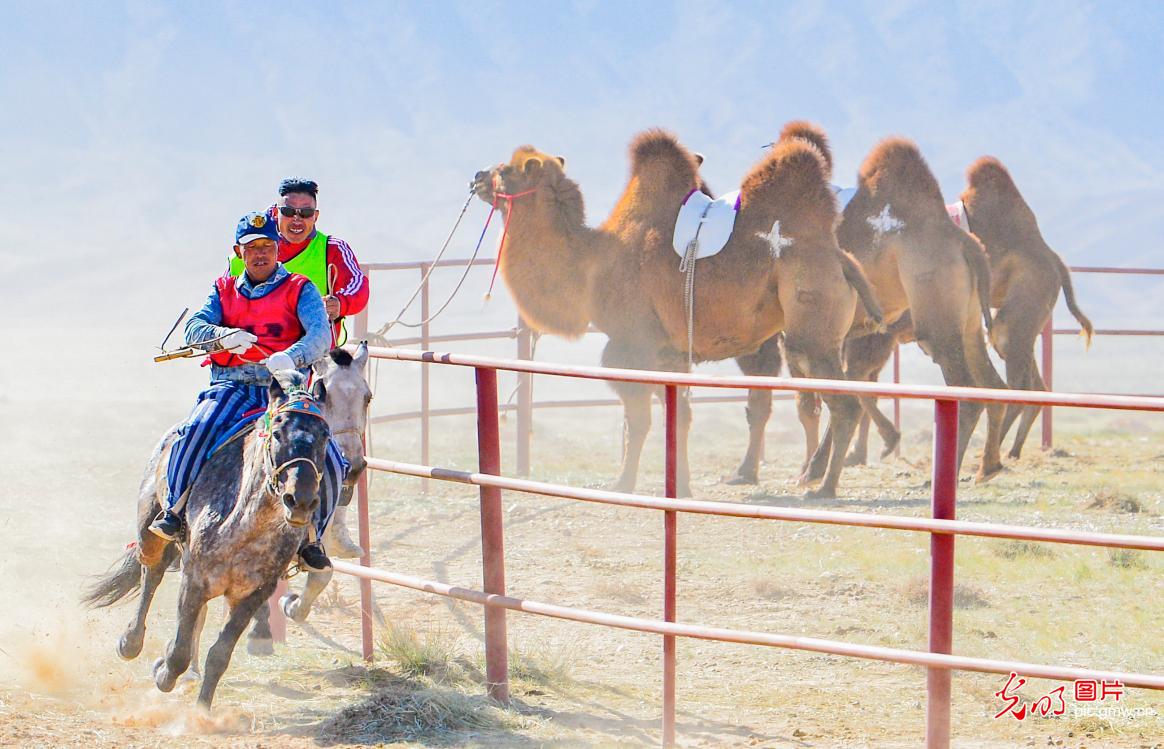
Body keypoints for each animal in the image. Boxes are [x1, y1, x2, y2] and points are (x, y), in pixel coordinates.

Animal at [472, 130, 879, 498]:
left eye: (506, 171)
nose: (477, 176)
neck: (590, 264)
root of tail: (839, 258)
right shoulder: (669, 350)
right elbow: (679, 417)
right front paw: (681, 489)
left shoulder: (631, 345)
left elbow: (639, 420)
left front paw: (624, 484)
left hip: (810, 320)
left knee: (844, 403)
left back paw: (823, 487)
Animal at [791, 132, 1010, 479]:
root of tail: (966, 243)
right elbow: (851, 380)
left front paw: (814, 469)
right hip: (969, 321)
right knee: (992, 386)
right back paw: (987, 466)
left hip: (935, 312)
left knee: (965, 391)